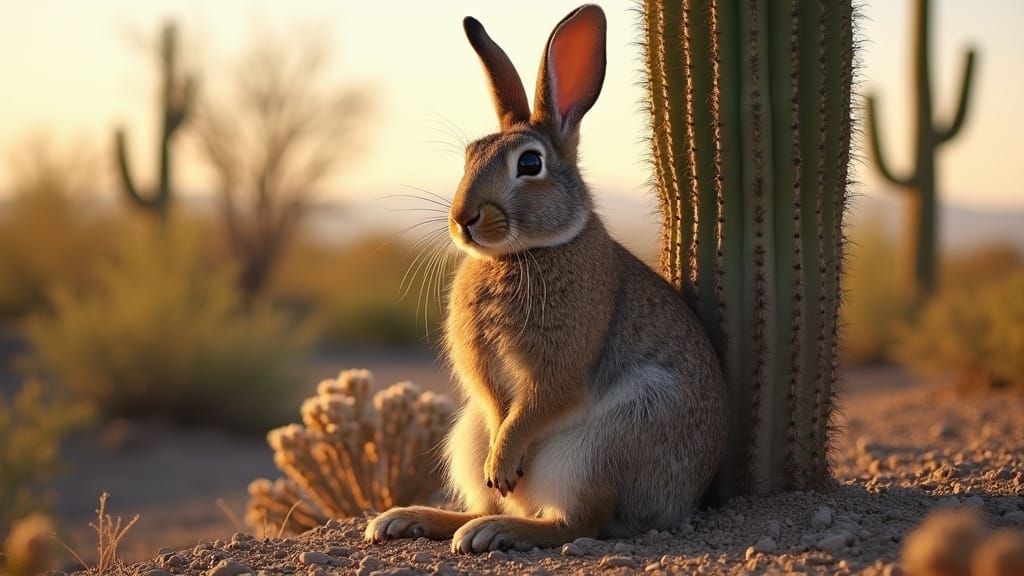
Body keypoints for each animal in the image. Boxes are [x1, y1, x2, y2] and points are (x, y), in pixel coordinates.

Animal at [365, 4, 727, 554]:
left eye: (530, 163)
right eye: (469, 155)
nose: (463, 219)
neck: (522, 254)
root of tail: (681, 502)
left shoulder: (560, 362)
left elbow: (539, 402)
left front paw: (504, 460)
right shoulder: (482, 373)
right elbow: (499, 406)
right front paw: (500, 462)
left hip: (599, 449)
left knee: (577, 523)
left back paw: (494, 530)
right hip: (468, 433)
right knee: (488, 497)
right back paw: (411, 520)